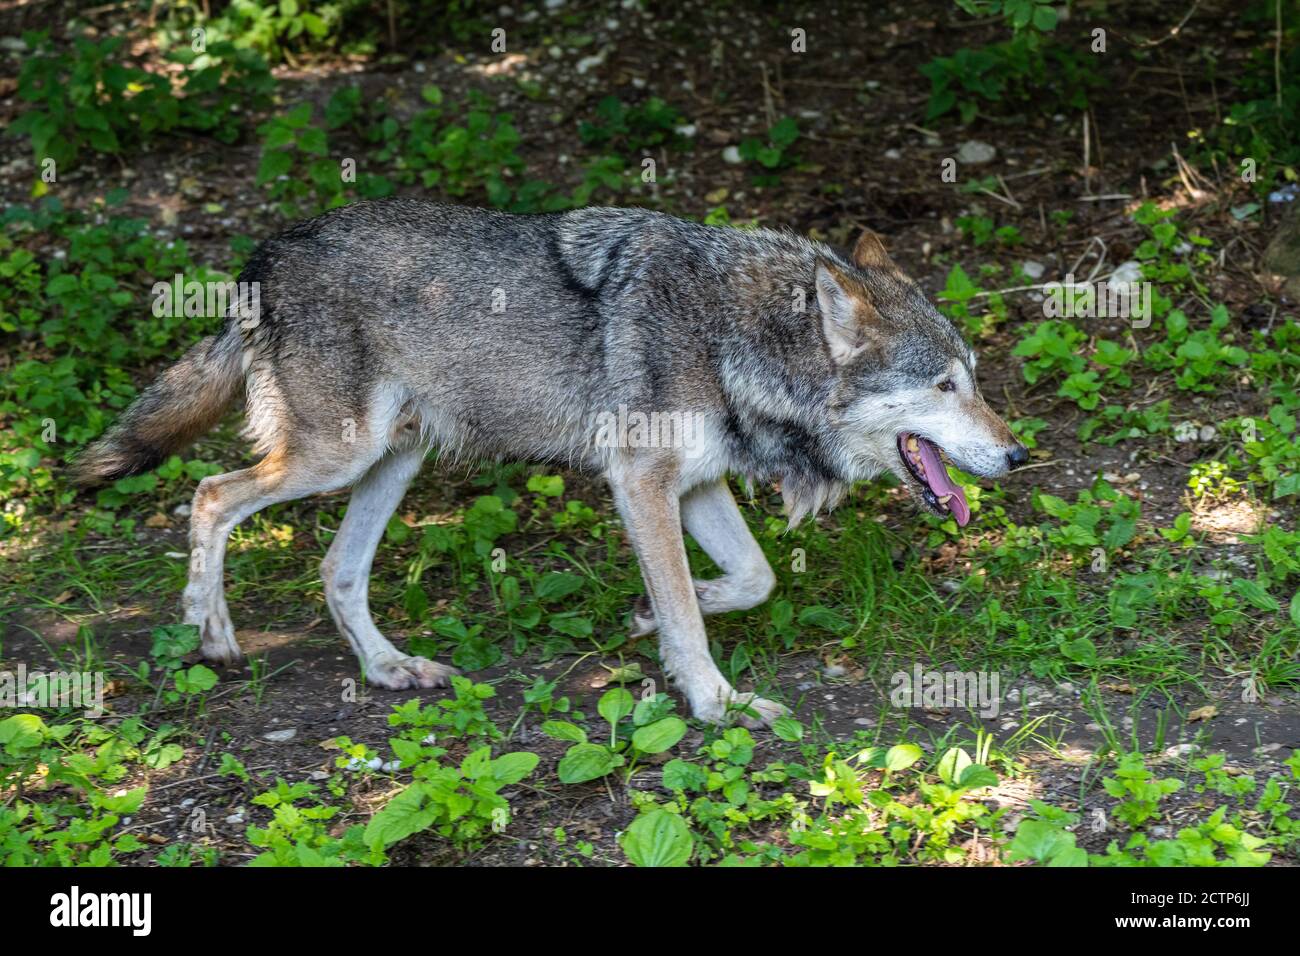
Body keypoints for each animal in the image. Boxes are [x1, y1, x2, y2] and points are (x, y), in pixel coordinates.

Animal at [74, 200, 1026, 727]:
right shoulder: (641, 483)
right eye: (944, 386)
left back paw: (388, 669)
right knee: (208, 495)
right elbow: (692, 616)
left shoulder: (695, 485)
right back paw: (213, 634)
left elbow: (750, 581)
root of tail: (265, 253)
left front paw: (647, 619)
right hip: (335, 458)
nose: (1018, 454)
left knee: (336, 569)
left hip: (392, 462)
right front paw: (714, 702)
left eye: (974, 379)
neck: (736, 338)